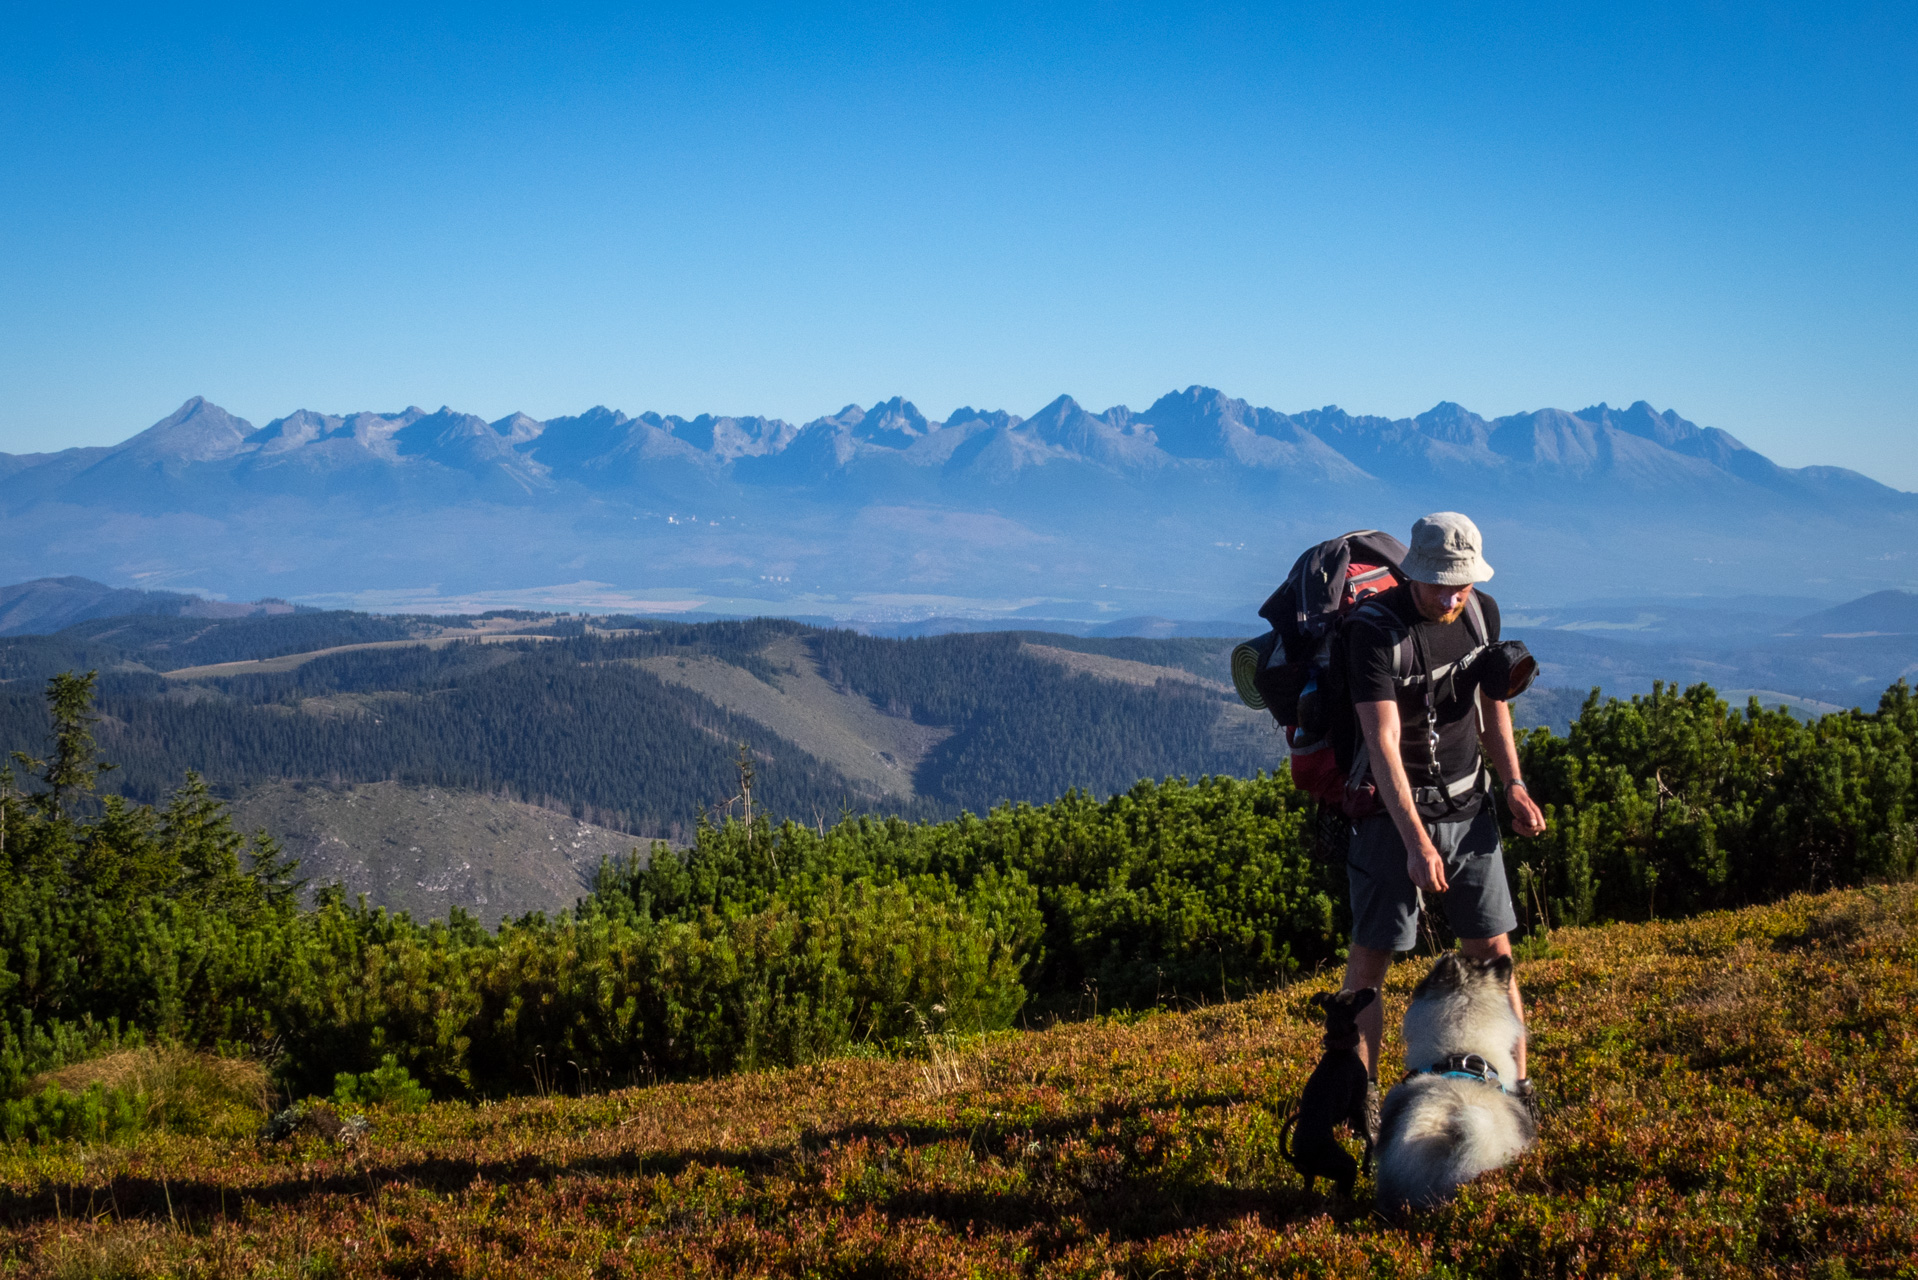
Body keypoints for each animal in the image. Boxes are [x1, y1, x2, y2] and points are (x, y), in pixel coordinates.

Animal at [1288, 990, 1380, 1197]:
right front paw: (1368, 1165)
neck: (1339, 1050)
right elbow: (1369, 1138)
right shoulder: (1357, 1106)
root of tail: (1298, 1157)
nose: (1373, 989)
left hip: (1310, 1178)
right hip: (1344, 1167)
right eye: (1357, 996)